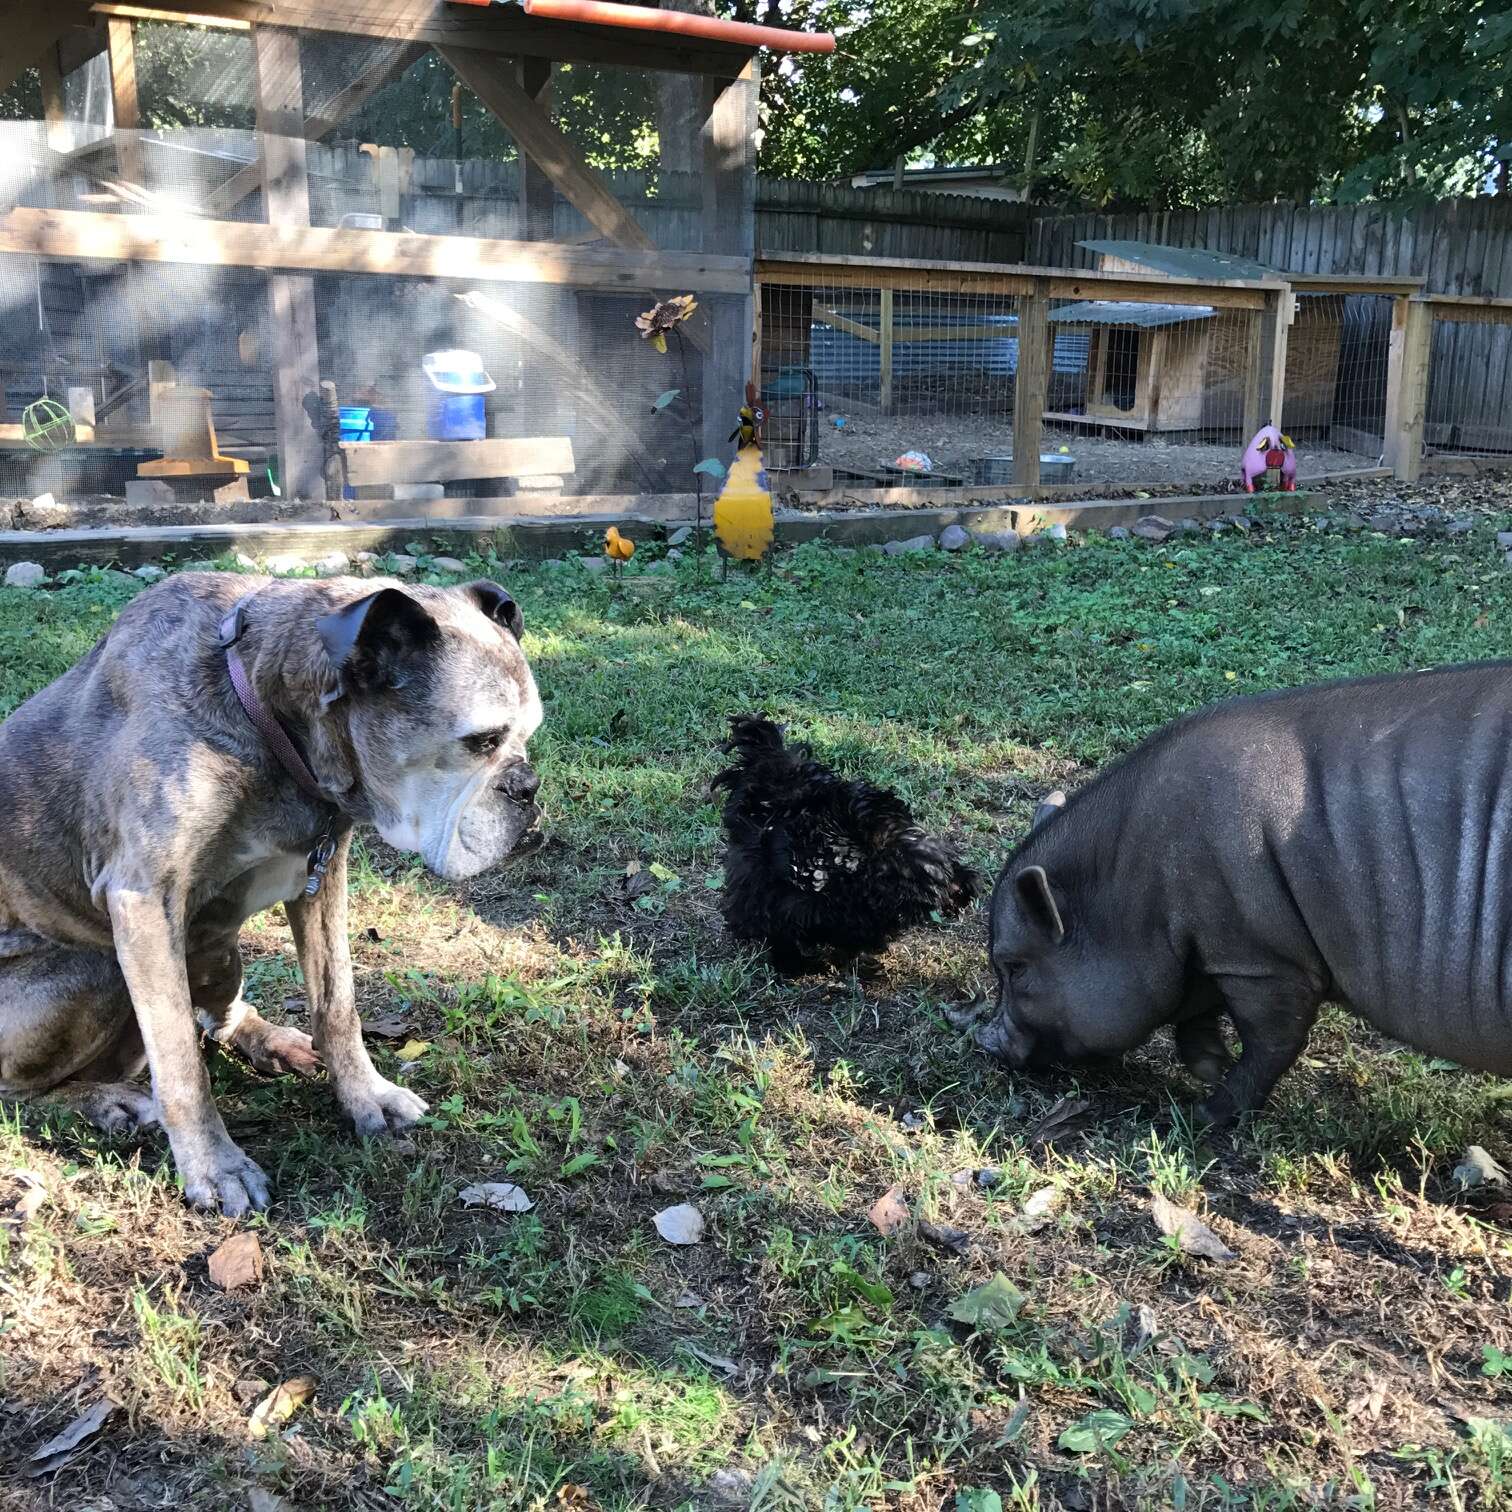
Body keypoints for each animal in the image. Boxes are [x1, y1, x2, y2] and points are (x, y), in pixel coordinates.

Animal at [979, 662, 1512, 1124]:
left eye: (1014, 966)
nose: (986, 1041)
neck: (1136, 891)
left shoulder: (1259, 953)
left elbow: (1272, 1039)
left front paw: (1206, 1111)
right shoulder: (1212, 949)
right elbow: (1197, 1013)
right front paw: (1209, 1069)